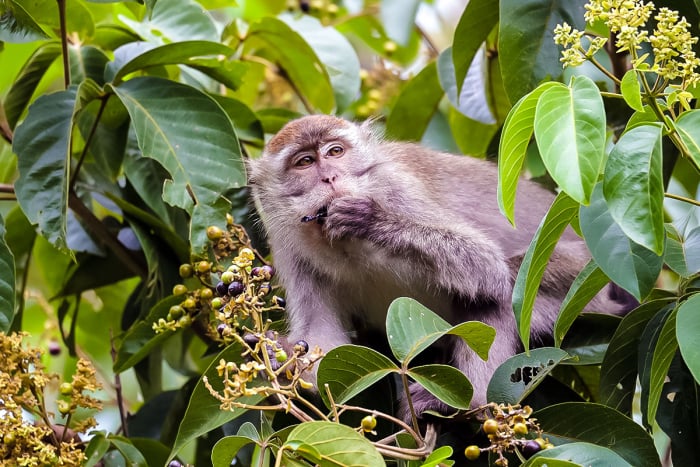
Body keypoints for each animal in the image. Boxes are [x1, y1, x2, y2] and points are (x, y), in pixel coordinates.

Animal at [247, 115, 636, 414]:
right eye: (304, 162)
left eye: (335, 152)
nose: (330, 178)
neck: (346, 247)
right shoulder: (286, 242)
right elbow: (321, 344)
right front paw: (277, 356)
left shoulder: (397, 189)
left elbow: (486, 266)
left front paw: (371, 220)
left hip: (575, 285)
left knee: (498, 291)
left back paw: (474, 401)